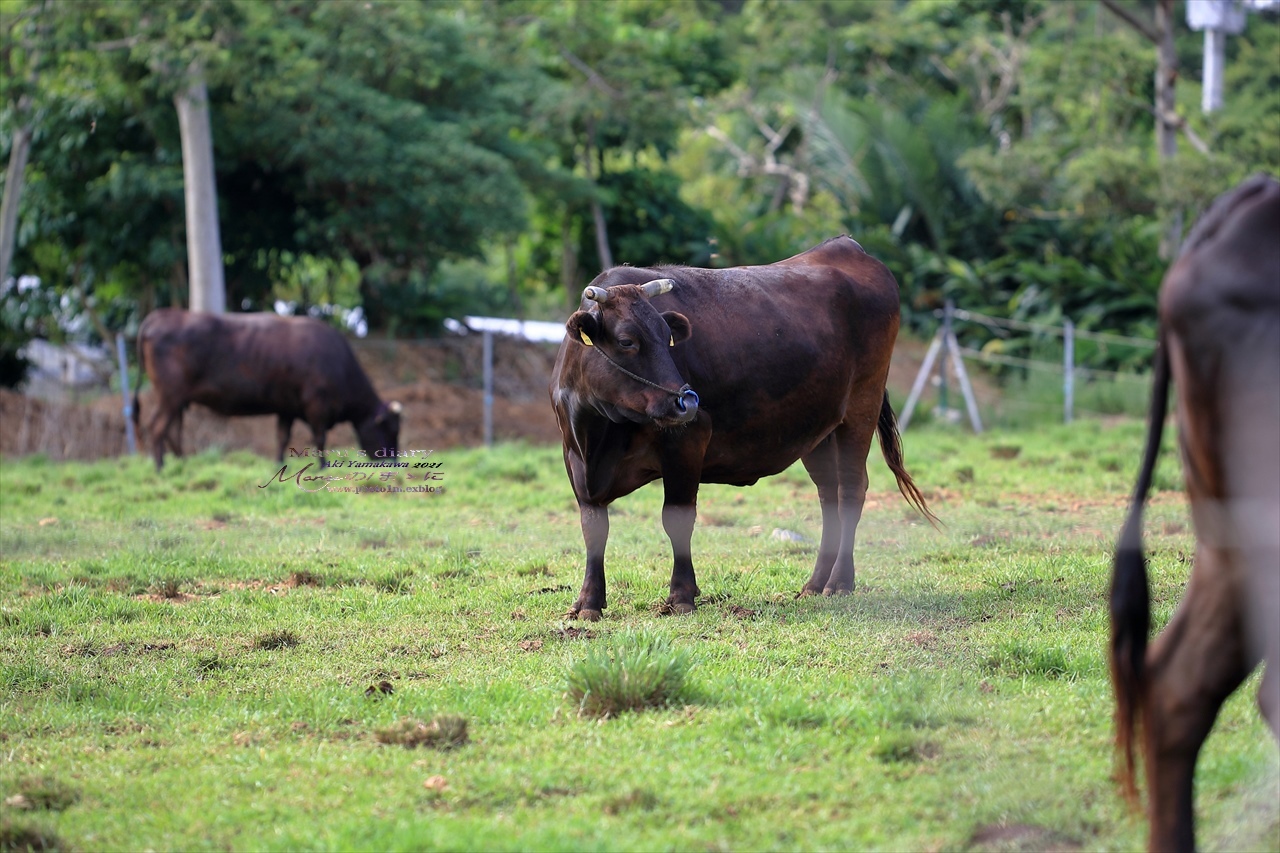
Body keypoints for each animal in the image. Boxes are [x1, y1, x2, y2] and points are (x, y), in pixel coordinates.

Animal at [135, 307, 399, 468]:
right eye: (389, 428)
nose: (395, 462)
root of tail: (164, 314)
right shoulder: (316, 405)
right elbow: (320, 437)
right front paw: (323, 467)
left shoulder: (287, 408)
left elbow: (282, 438)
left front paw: (279, 464)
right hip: (169, 396)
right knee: (157, 427)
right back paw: (160, 468)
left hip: (177, 400)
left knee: (173, 431)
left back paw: (182, 465)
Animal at [545, 233, 936, 617]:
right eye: (627, 341)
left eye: (667, 338)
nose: (686, 401)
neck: (598, 434)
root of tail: (847, 247)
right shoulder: (573, 457)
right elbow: (593, 527)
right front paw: (588, 602)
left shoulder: (688, 441)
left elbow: (677, 519)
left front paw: (681, 595)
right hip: (818, 429)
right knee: (829, 495)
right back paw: (814, 584)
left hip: (860, 407)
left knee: (851, 491)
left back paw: (839, 582)